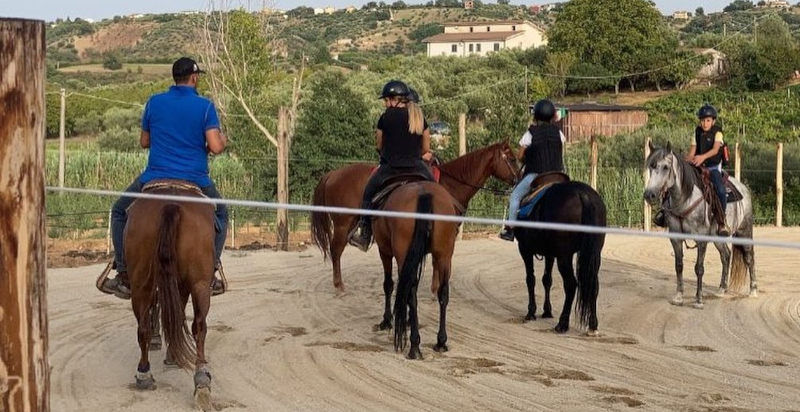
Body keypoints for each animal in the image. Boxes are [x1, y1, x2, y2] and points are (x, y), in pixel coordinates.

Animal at [125, 182, 217, 410]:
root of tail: (171, 203)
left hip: (142, 283)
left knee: (144, 327)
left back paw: (145, 373)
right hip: (200, 283)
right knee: (199, 326)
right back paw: (201, 379)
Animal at [310, 141, 518, 293]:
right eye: (511, 158)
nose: (518, 179)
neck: (450, 185)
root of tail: (332, 174)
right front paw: (436, 289)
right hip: (342, 223)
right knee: (336, 250)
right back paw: (339, 286)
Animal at [373, 182, 461, 359]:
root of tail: (423, 193)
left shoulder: (384, 251)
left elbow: (388, 285)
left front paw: (387, 321)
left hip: (402, 254)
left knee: (411, 295)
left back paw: (414, 346)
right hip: (444, 255)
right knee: (443, 293)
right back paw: (441, 342)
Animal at [513, 179, 607, 335]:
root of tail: (583, 194)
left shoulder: (525, 249)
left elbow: (530, 279)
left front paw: (531, 312)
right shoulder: (550, 253)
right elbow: (547, 280)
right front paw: (547, 311)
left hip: (564, 257)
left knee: (571, 284)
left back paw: (562, 323)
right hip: (594, 255)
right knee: (593, 284)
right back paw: (593, 326)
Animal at [643, 142, 756, 309]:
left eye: (665, 167)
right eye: (651, 167)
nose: (649, 195)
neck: (685, 199)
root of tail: (743, 188)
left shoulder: (701, 239)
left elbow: (699, 268)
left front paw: (699, 300)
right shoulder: (675, 237)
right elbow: (679, 265)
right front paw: (679, 297)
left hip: (744, 231)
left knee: (749, 257)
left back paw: (753, 290)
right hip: (717, 237)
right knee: (726, 255)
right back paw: (721, 289)